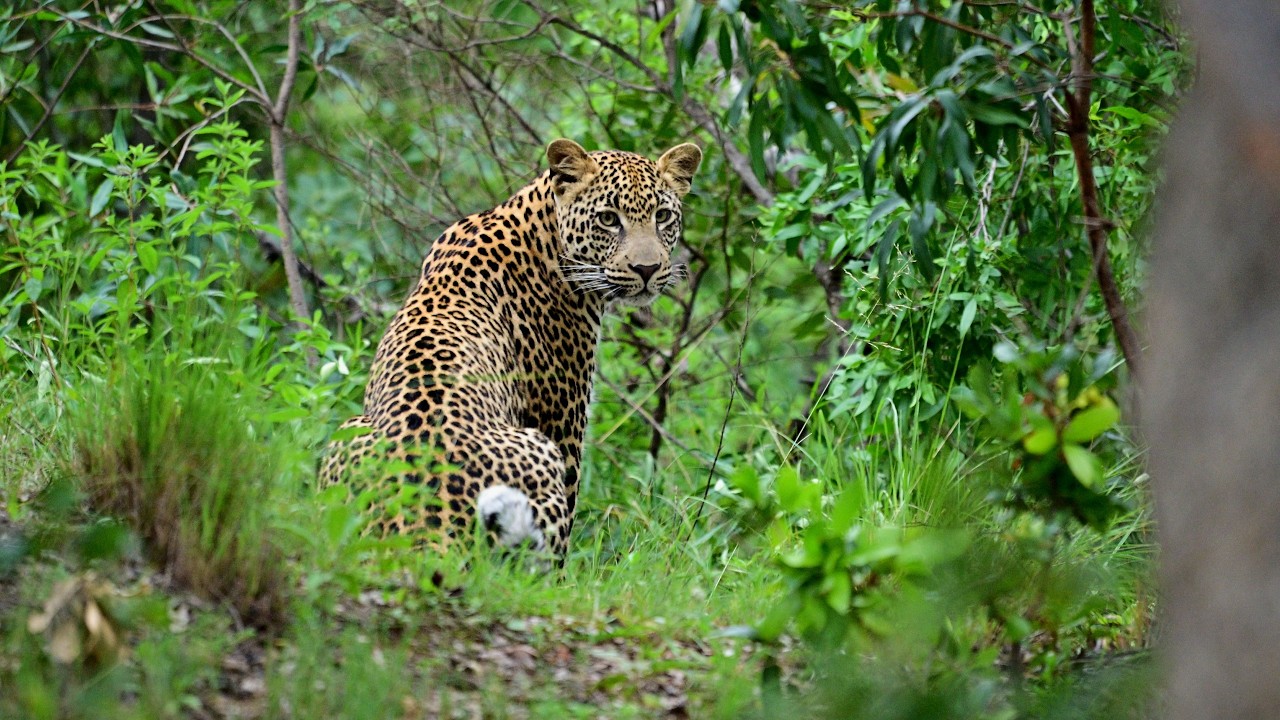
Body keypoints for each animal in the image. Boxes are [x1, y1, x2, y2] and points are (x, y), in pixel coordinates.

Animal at [319, 139, 702, 557]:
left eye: (662, 216)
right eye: (607, 219)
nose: (647, 269)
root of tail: (421, 518)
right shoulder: (561, 420)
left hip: (344, 436)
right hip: (538, 451)